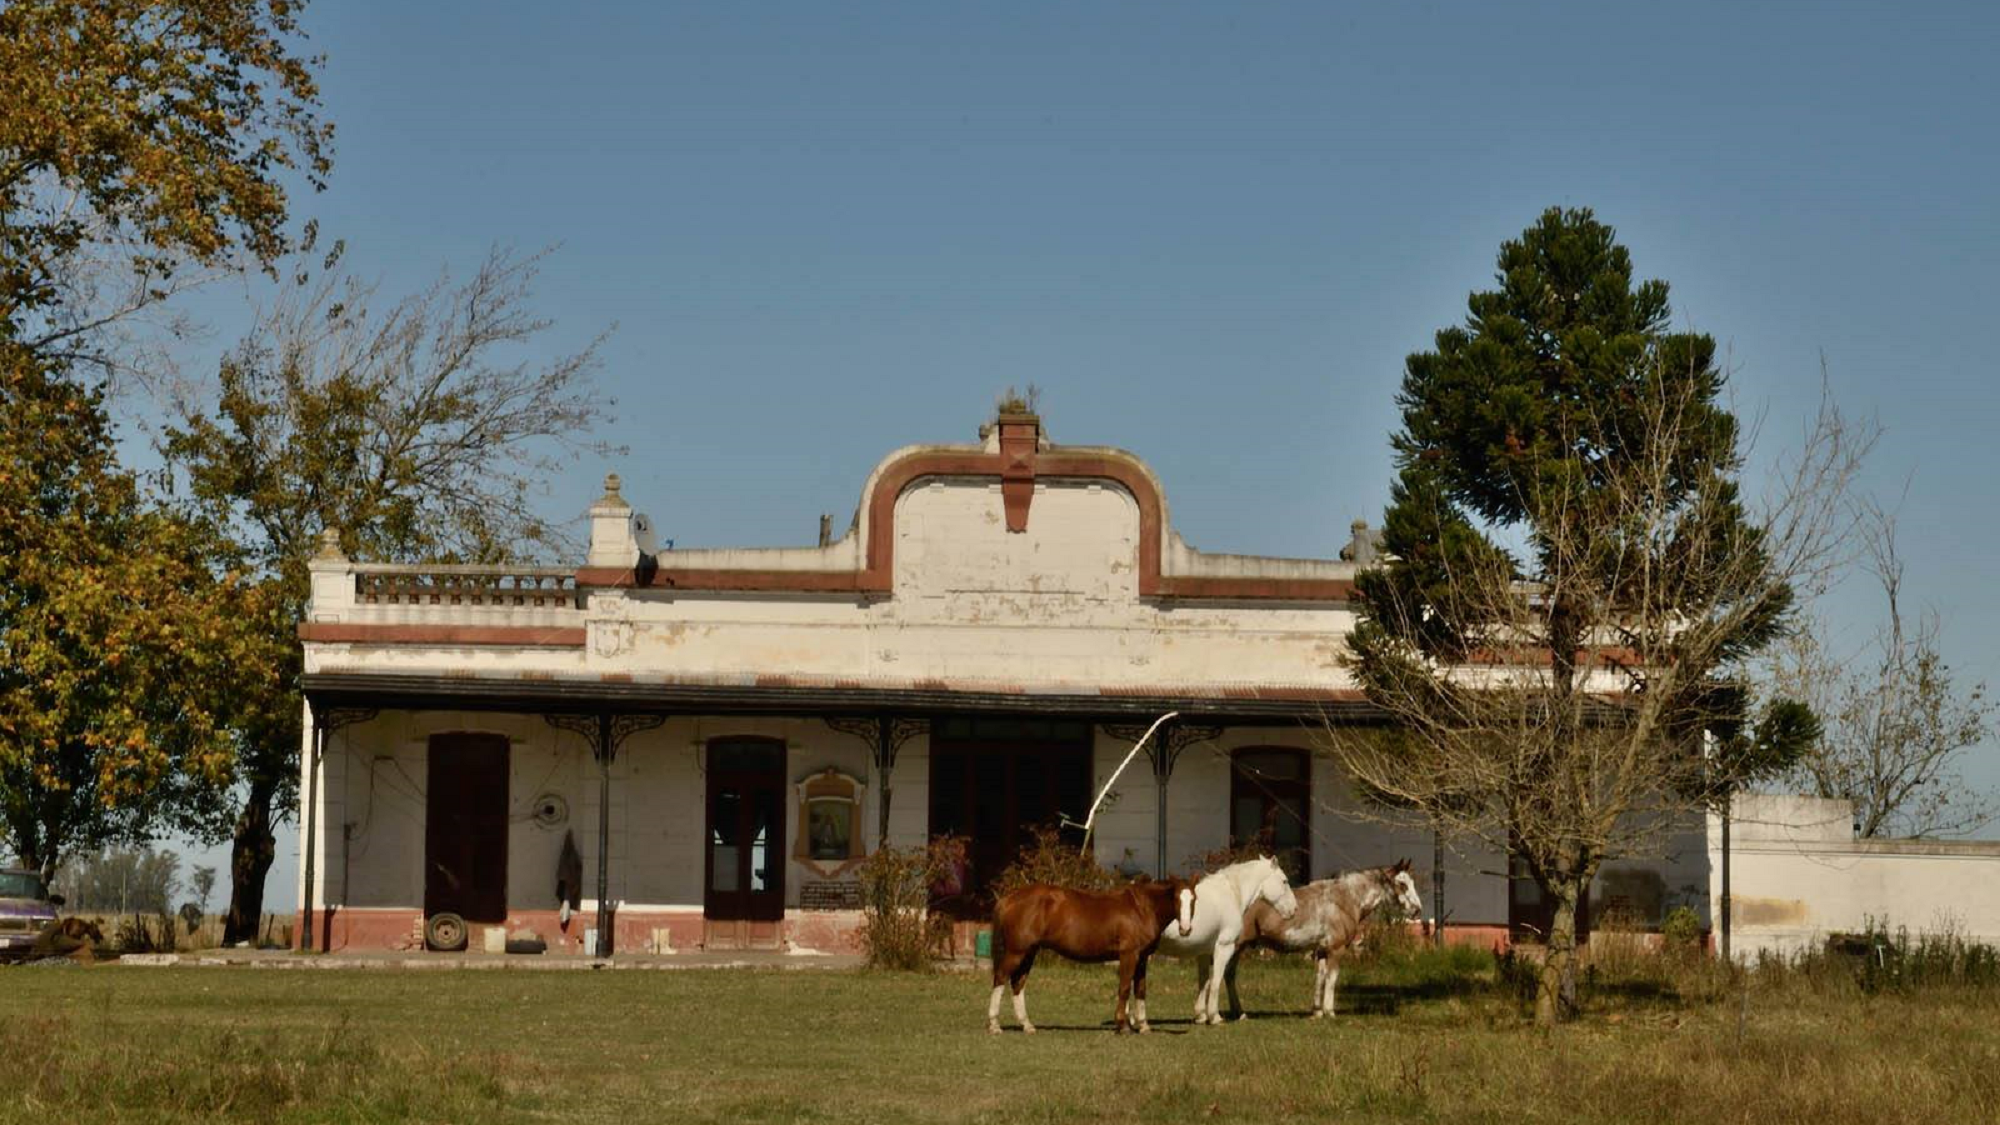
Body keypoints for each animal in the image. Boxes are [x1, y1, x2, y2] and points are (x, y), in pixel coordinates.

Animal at [988, 876, 1192, 1032]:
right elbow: (1125, 987)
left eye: (1193, 900)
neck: (1141, 908)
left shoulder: (1142, 958)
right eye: (1176, 899)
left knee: (1018, 983)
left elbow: (1140, 990)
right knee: (1001, 977)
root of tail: (1009, 898)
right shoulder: (1129, 954)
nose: (1185, 929)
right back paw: (995, 1025)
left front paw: (1143, 1026)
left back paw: (1027, 1025)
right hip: (1016, 952)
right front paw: (1123, 1025)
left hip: (1029, 952)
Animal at [1152, 852, 1304, 1020]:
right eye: (1284, 881)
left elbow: (1204, 981)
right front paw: (1214, 1016)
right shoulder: (1224, 947)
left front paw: (1201, 1015)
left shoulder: (1203, 951)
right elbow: (1216, 981)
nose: (1294, 909)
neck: (1231, 894)